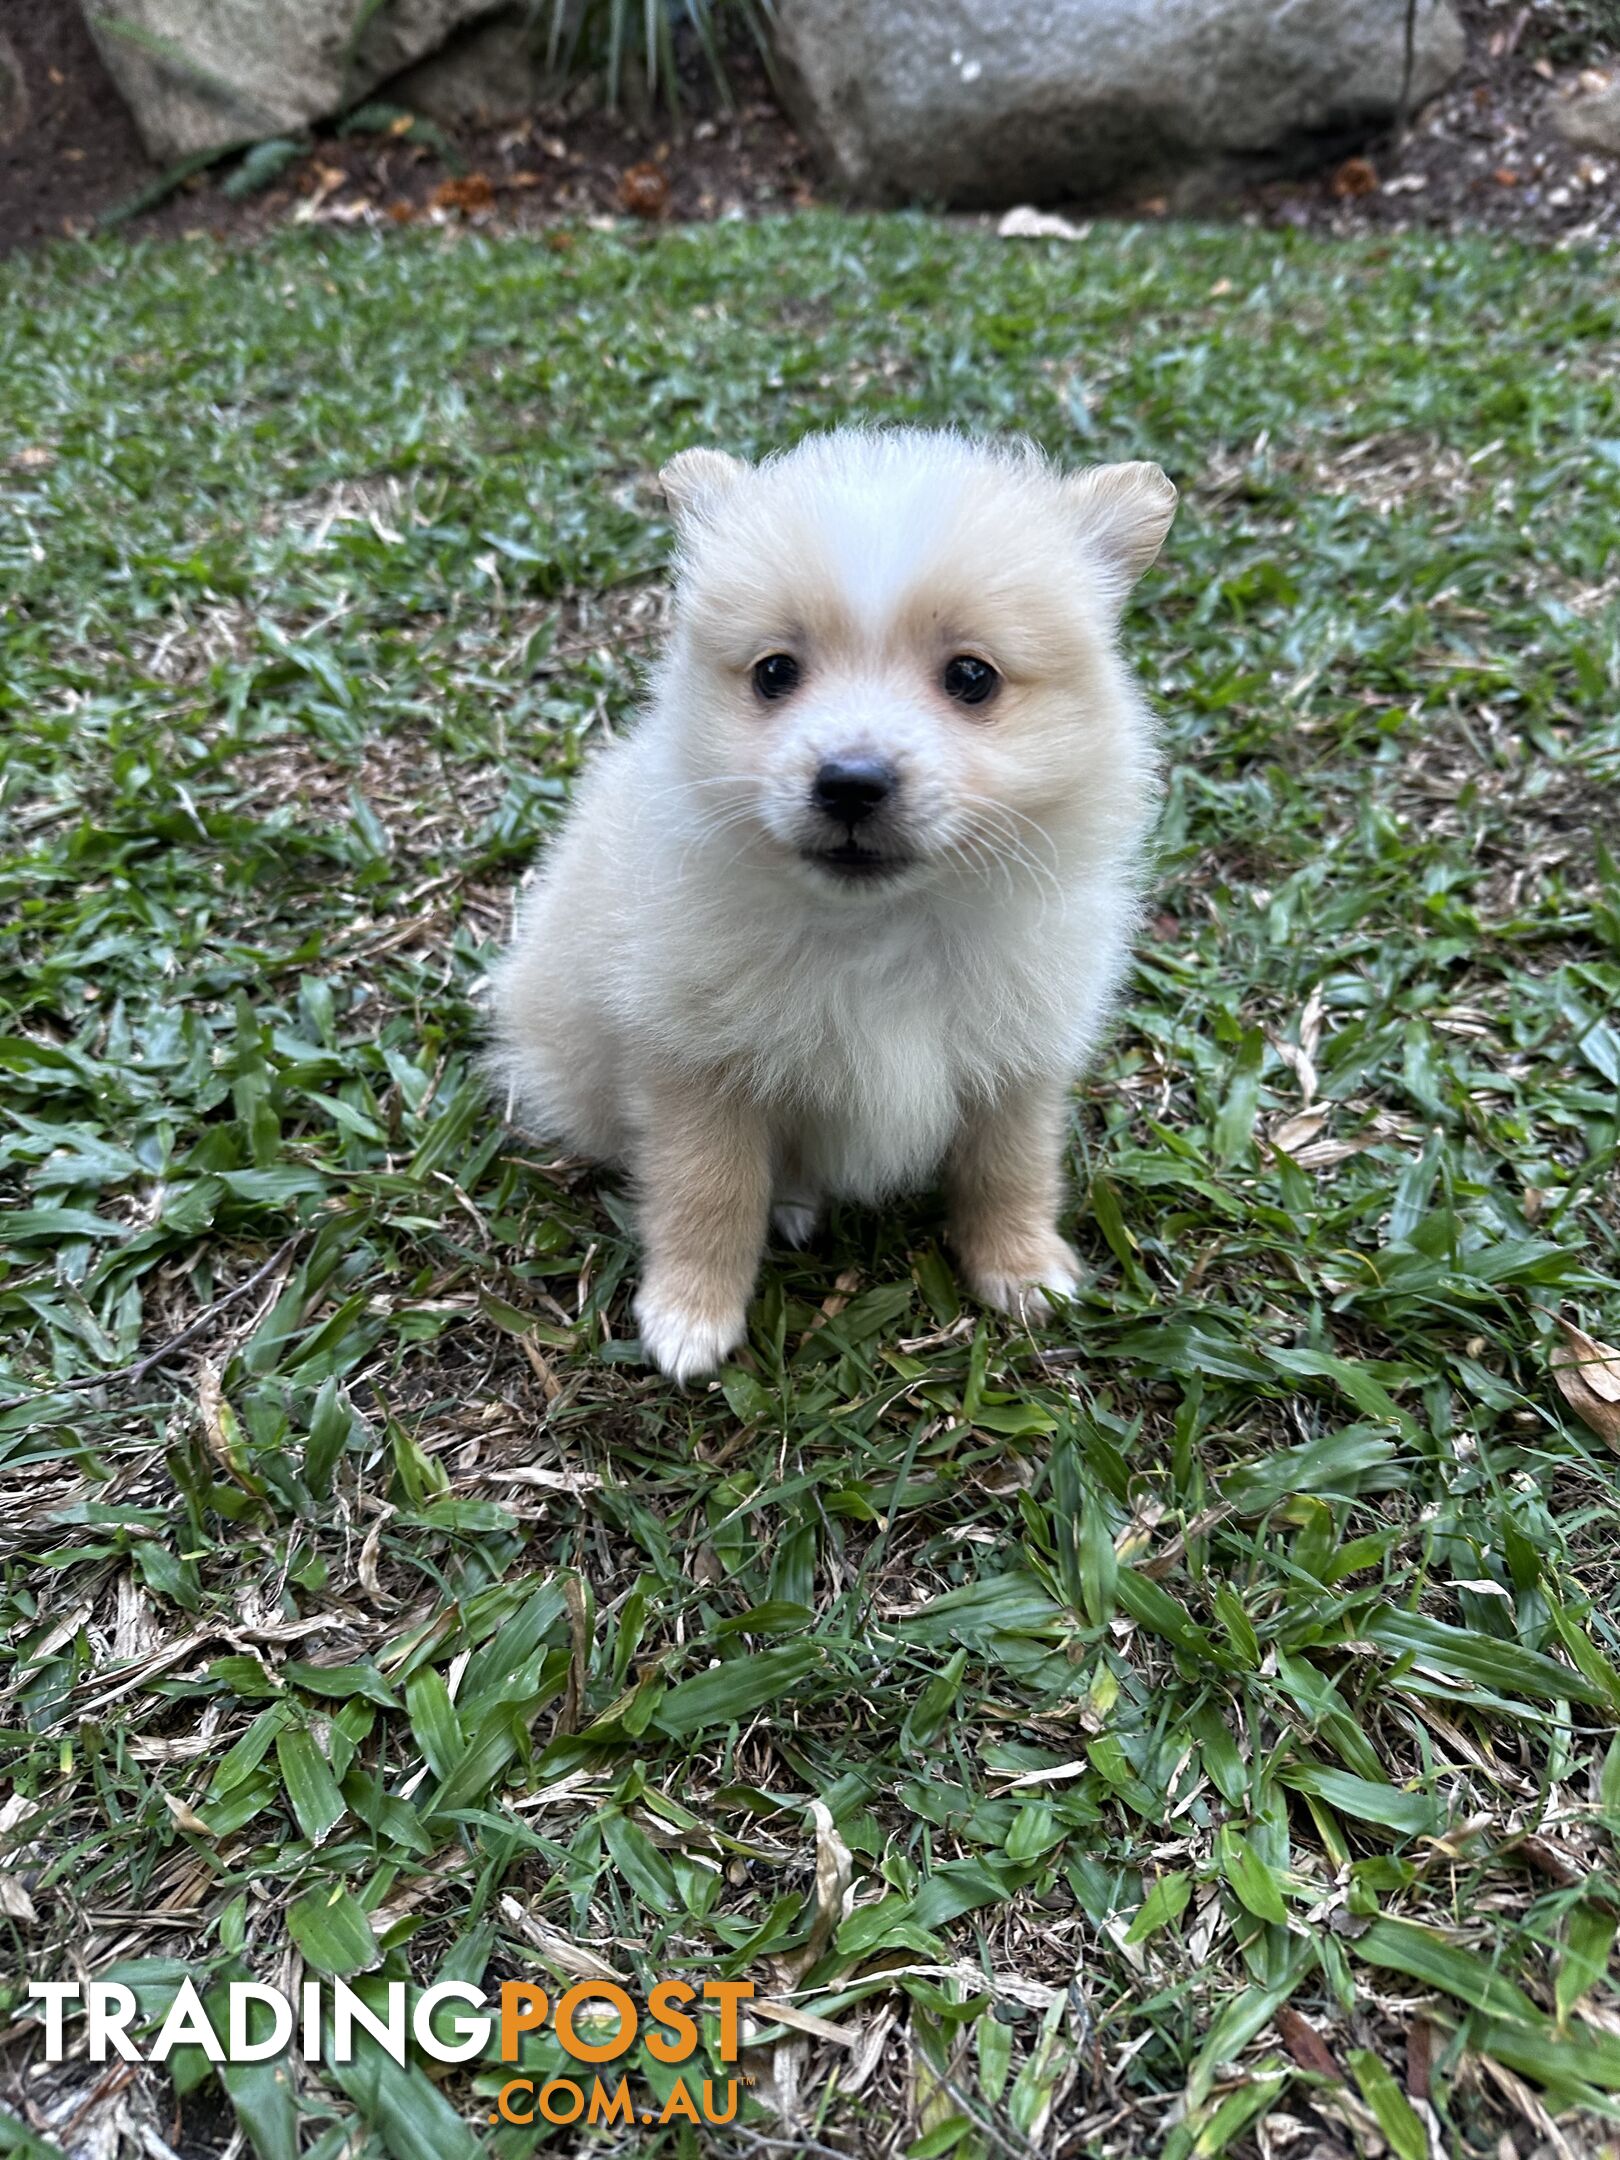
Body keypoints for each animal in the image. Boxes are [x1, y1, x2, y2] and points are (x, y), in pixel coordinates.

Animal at [488, 434, 1175, 1382]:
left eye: (972, 677)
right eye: (776, 673)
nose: (851, 781)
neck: (879, 927)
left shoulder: (1021, 1051)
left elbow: (1008, 1164)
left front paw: (1021, 1266)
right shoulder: (696, 1061)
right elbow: (709, 1189)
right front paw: (691, 1313)